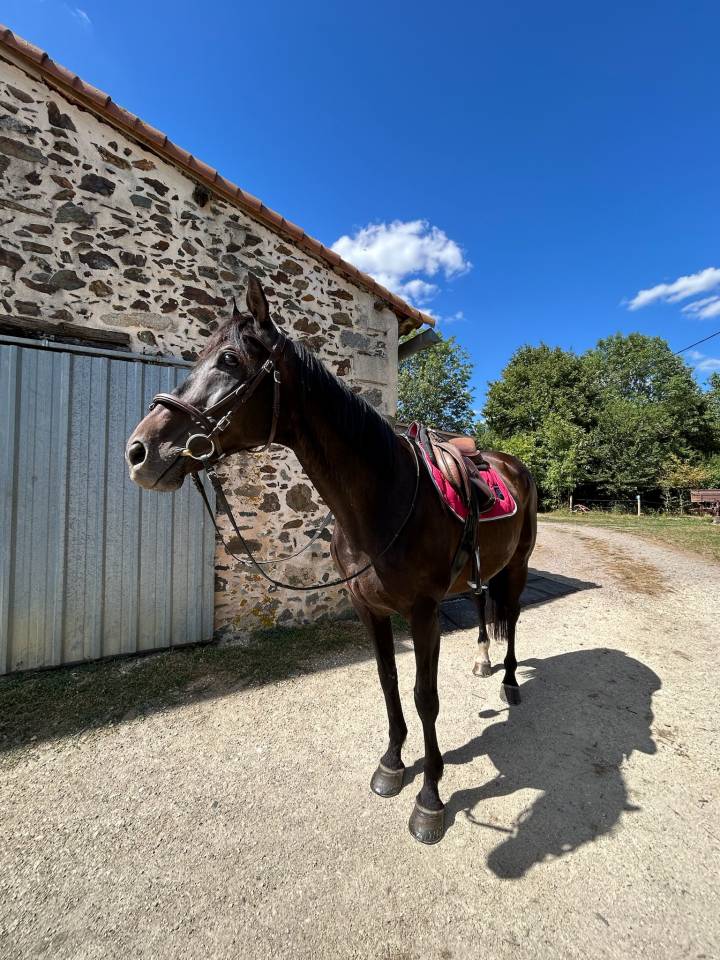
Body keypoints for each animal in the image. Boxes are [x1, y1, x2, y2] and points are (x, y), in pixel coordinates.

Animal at [126, 275, 537, 844]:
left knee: (512, 618)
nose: (139, 451)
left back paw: (510, 683)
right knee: (483, 608)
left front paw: (430, 799)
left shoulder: (424, 613)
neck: (386, 498)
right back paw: (482, 659)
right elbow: (389, 684)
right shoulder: (370, 610)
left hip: (517, 566)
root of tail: (514, 464)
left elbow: (425, 696)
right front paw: (392, 764)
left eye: (228, 359)